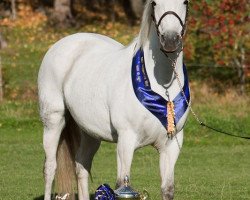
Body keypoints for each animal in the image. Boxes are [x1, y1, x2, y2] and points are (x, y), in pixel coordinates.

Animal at [37, 0, 189, 199]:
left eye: (185, 2)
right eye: (155, 3)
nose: (170, 40)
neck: (163, 88)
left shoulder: (171, 145)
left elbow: (167, 189)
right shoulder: (126, 140)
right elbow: (121, 183)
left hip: (89, 132)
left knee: (81, 166)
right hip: (53, 121)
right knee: (50, 168)